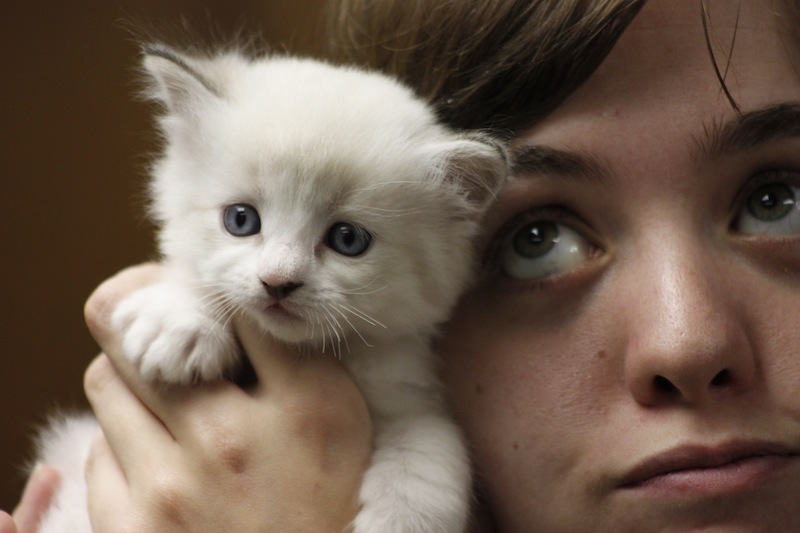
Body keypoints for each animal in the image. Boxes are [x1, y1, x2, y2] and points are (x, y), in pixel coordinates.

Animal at [36, 45, 506, 532]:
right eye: (241, 219)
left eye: (347, 239)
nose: (278, 281)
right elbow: (194, 276)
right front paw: (179, 324)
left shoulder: (411, 400)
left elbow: (433, 450)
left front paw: (403, 521)